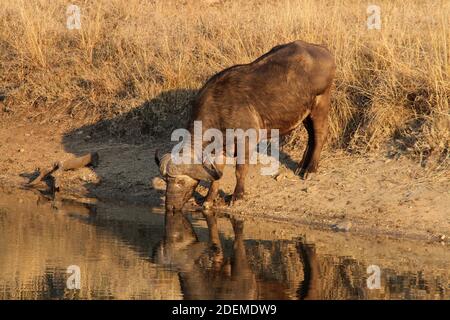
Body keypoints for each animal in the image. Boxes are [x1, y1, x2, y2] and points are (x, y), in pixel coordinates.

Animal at [155, 40, 334, 211]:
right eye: (166, 181)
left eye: (180, 182)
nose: (170, 206)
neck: (219, 107)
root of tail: (323, 50)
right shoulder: (220, 148)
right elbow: (217, 174)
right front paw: (208, 200)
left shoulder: (246, 141)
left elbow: (240, 170)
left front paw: (237, 196)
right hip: (304, 112)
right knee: (311, 137)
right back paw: (301, 167)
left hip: (320, 103)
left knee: (320, 135)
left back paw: (310, 170)